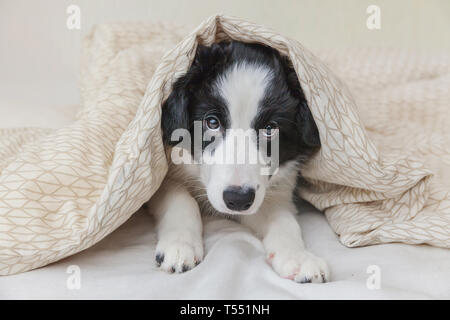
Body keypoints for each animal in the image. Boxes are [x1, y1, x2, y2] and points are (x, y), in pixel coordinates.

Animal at [149, 40, 328, 282]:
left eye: (270, 128)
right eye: (212, 122)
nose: (238, 199)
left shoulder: (273, 190)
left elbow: (283, 220)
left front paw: (298, 257)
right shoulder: (162, 173)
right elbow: (181, 198)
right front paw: (179, 245)